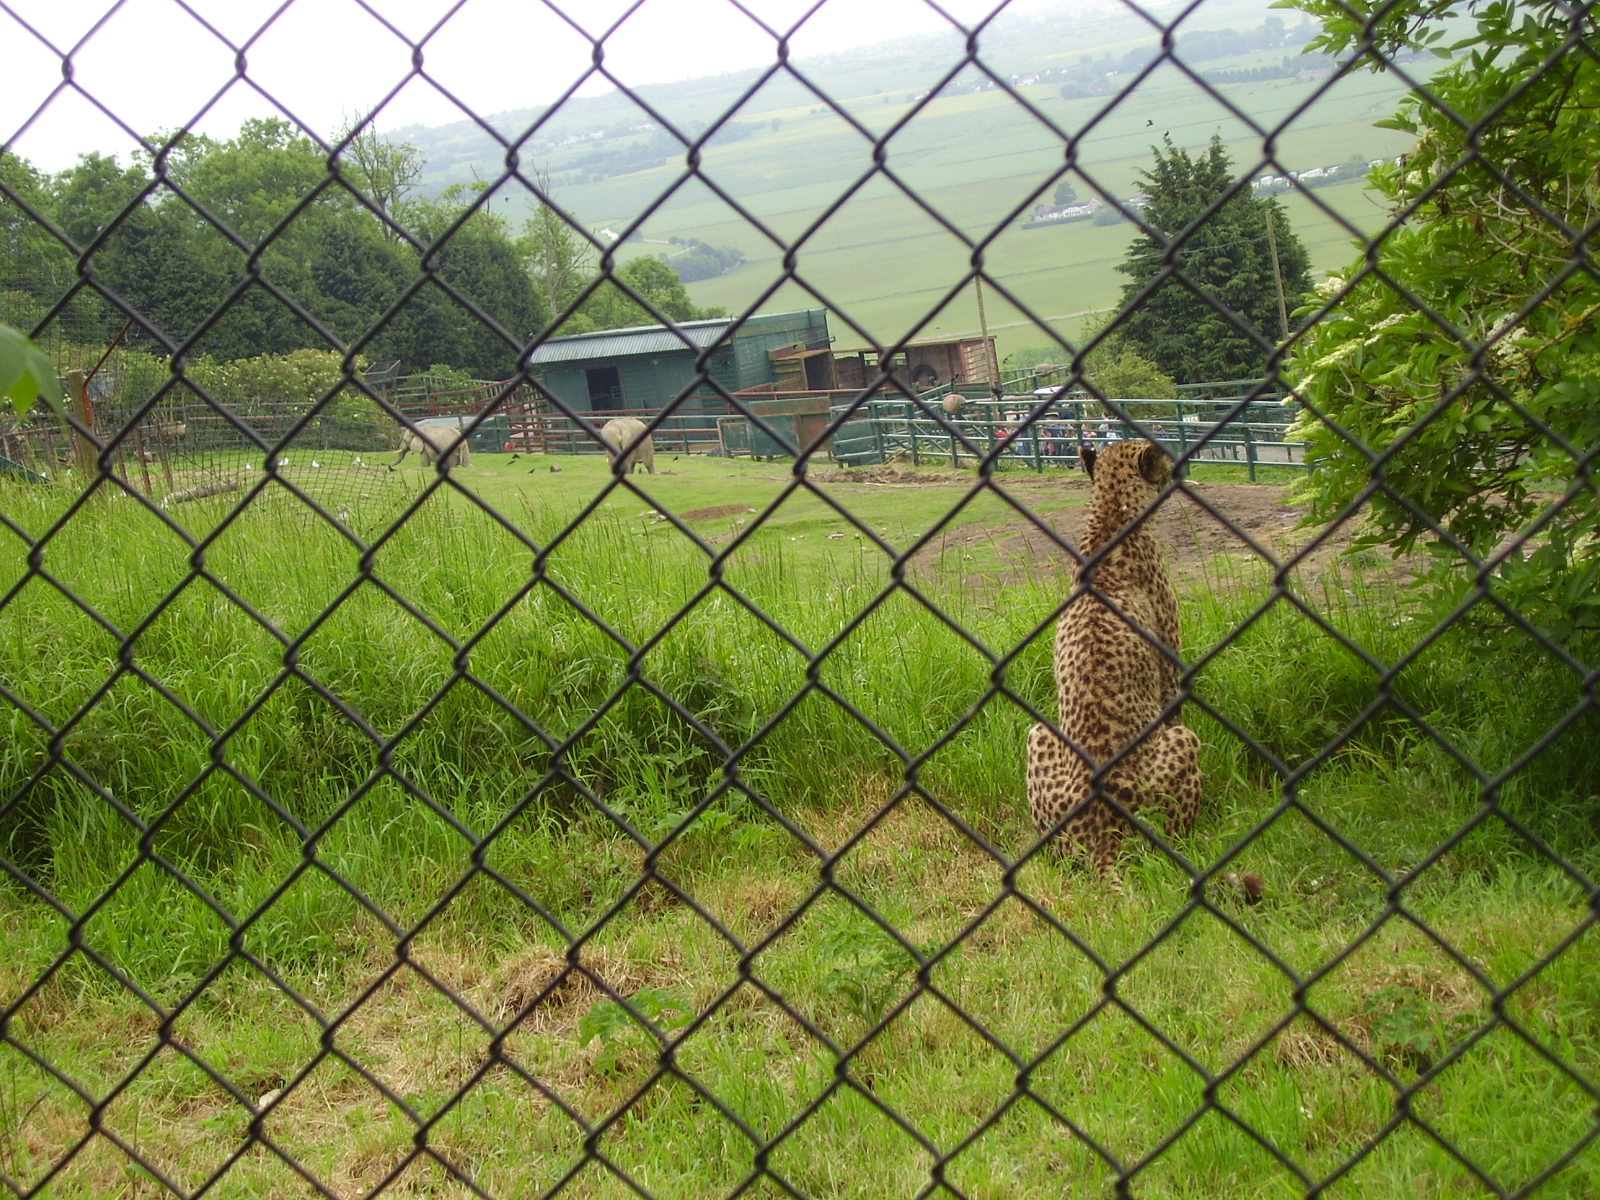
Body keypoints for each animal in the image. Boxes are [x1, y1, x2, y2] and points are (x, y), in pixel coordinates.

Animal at [1026, 438, 1203, 881]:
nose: (1178, 466)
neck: (1111, 511)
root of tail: (1102, 829)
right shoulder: (1170, 674)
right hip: (1184, 745)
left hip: (1038, 734)